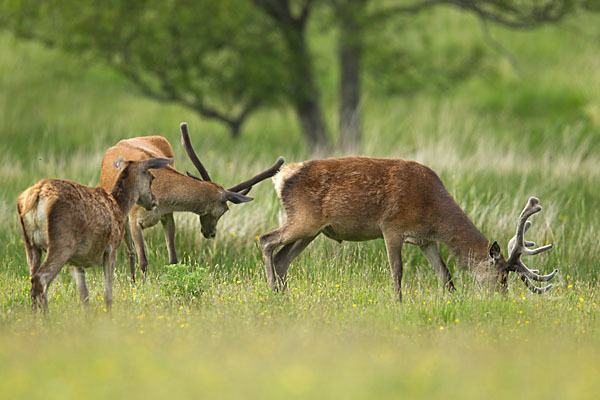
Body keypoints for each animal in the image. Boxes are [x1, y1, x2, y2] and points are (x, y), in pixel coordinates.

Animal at [17, 155, 171, 310]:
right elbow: (108, 295)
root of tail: (36, 195)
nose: (155, 200)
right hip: (62, 243)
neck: (119, 207)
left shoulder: (76, 261)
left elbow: (84, 297)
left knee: (33, 279)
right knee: (41, 279)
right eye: (152, 178)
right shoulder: (111, 248)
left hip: (30, 245)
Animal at [100, 122, 284, 282]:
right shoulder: (134, 219)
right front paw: (144, 287)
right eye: (225, 209)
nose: (211, 233)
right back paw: (132, 282)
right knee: (129, 251)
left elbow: (173, 259)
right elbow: (143, 260)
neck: (160, 192)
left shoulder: (168, 214)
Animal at [258, 157, 556, 300]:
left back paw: (284, 296)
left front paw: (454, 301)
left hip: (312, 229)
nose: (502, 299)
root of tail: (281, 177)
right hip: (304, 219)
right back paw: (273, 292)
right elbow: (397, 271)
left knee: (283, 257)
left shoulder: (426, 239)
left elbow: (445, 274)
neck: (432, 207)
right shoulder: (391, 226)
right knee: (266, 239)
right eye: (501, 276)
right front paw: (398, 303)